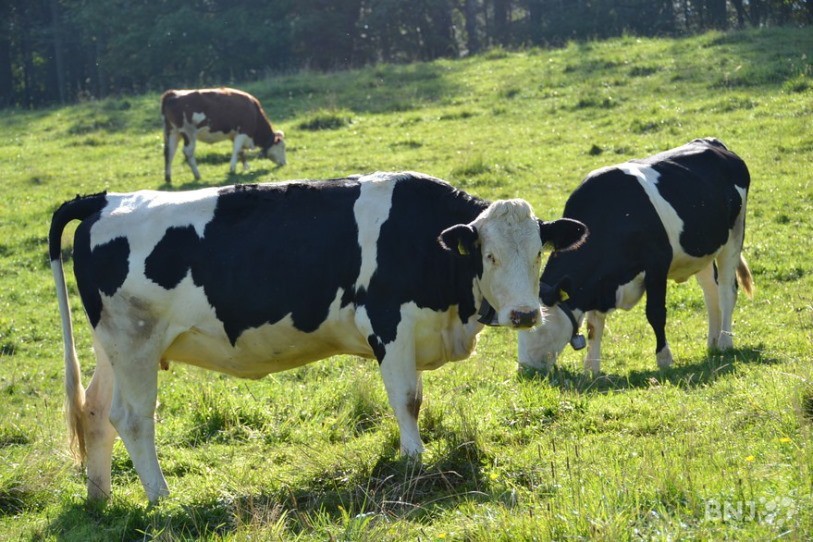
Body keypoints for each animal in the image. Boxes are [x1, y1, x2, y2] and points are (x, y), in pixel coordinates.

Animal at [49, 171, 587, 502]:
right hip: (134, 344)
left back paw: (100, 496)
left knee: (95, 412)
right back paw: (160, 497)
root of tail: (106, 200)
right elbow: (407, 398)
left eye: (538, 252)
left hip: (114, 347)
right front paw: (414, 460)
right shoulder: (389, 324)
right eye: (488, 255)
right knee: (133, 418)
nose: (524, 314)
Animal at [517, 138, 754, 378]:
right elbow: (594, 326)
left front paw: (664, 359)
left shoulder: (657, 266)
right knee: (711, 292)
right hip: (701, 250)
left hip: (734, 235)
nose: (524, 369)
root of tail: (711, 142)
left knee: (727, 290)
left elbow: (655, 313)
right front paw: (592, 368)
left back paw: (724, 341)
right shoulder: (598, 283)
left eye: (537, 322)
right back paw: (713, 342)